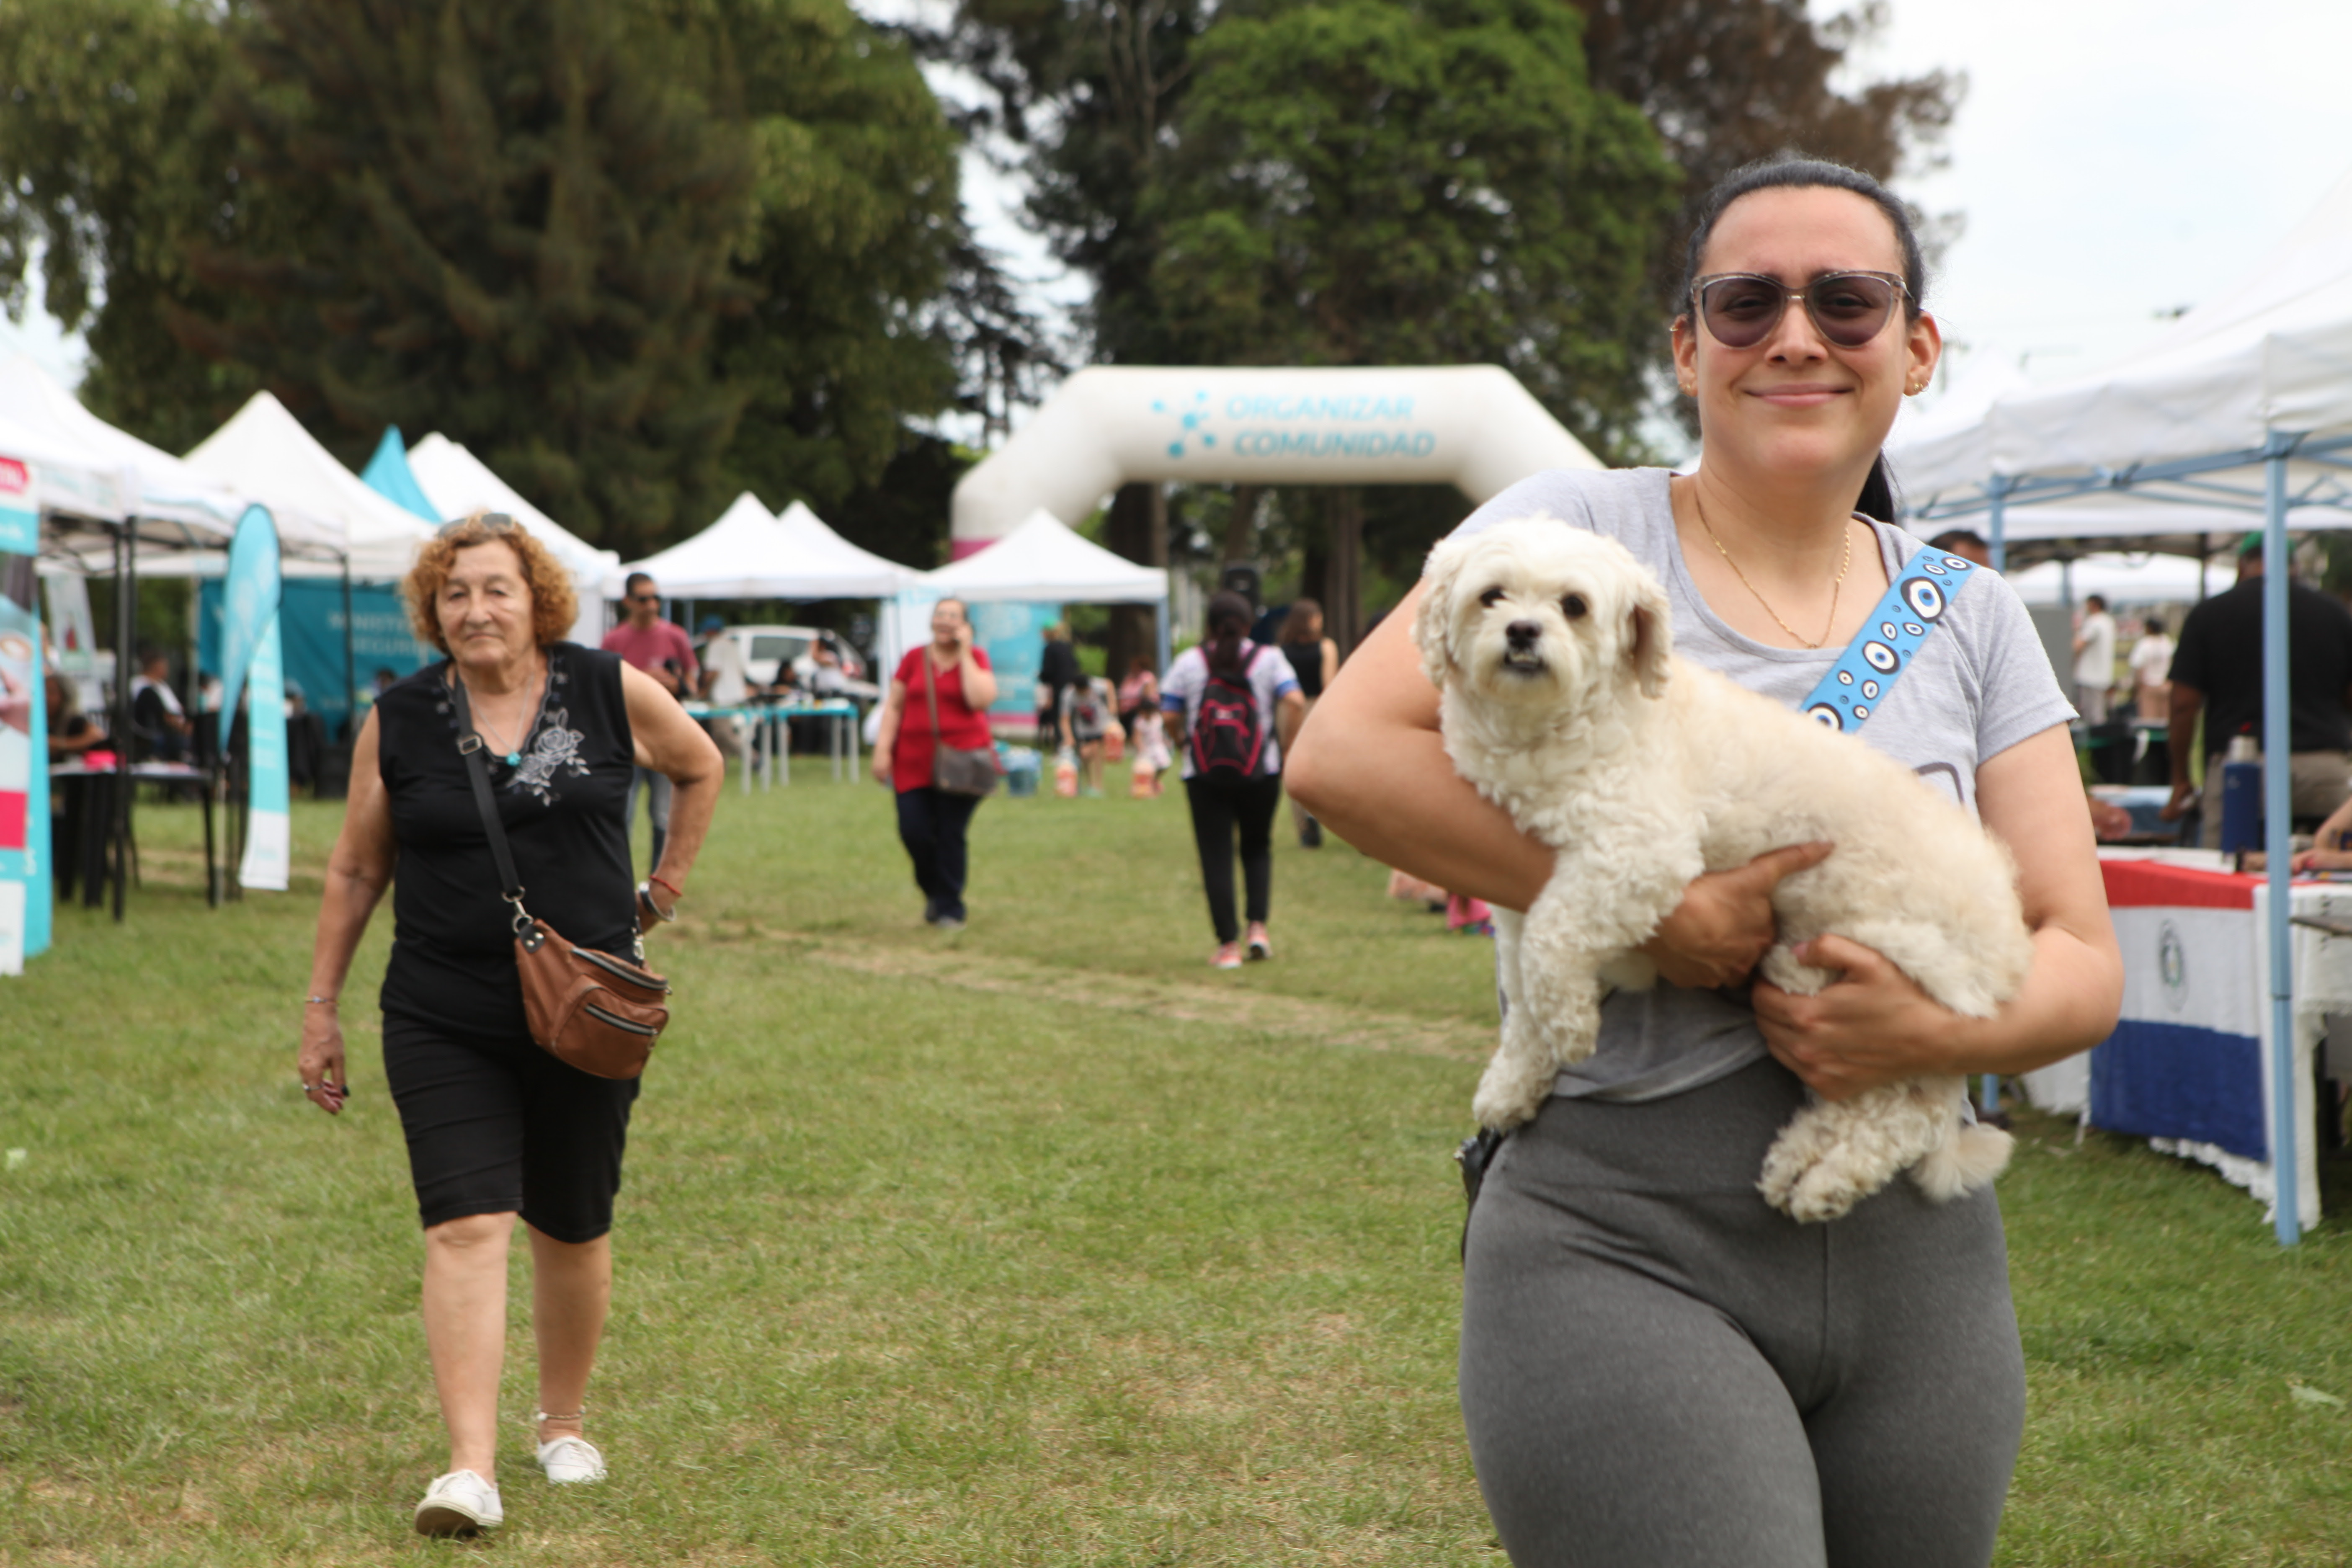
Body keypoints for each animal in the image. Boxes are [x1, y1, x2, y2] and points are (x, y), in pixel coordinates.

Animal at [1411, 522, 2041, 1222]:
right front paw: (1518, 1077)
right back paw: (1802, 1163)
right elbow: (1523, 989)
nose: (1522, 631)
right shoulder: (1521, 893)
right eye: (1491, 596)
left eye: (1573, 605)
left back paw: (1826, 1181)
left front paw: (1571, 1027)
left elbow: (1552, 944)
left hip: (1869, 972)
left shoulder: (1638, 853)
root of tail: (2010, 954)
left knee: (1911, 1110)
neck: (1563, 726)